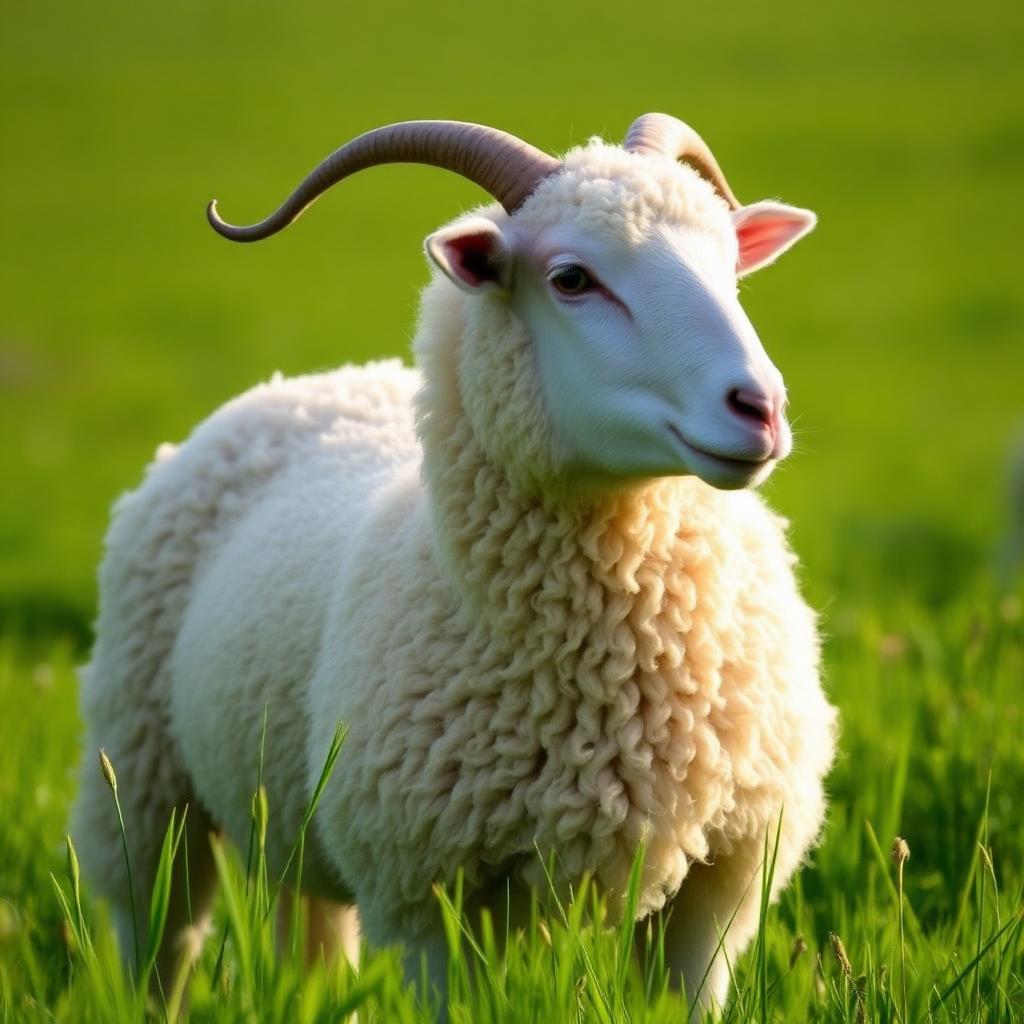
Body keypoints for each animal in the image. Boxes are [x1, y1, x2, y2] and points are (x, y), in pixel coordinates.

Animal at [71, 115, 837, 1012]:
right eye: (571, 278)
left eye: (729, 264)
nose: (760, 409)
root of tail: (305, 382)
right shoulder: (431, 896)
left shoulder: (717, 888)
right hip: (143, 780)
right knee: (160, 938)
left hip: (283, 815)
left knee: (307, 943)